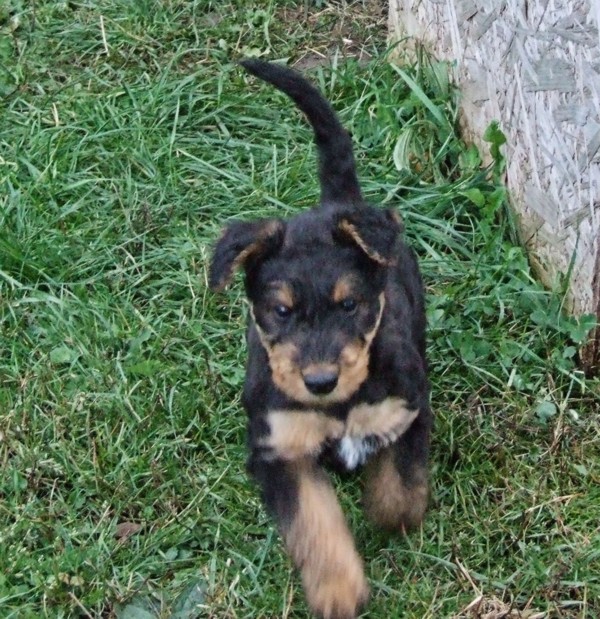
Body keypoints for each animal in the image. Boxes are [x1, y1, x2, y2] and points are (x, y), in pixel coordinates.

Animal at [209, 59, 431, 619]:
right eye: (281, 311)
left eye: (349, 305)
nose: (320, 381)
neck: (340, 406)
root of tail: (337, 203)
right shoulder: (279, 448)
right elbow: (314, 523)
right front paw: (338, 591)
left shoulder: (406, 409)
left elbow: (401, 492)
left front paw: (385, 514)